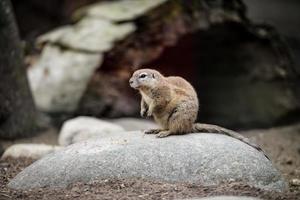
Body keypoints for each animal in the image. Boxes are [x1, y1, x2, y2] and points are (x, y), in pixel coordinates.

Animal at [129, 69, 270, 159]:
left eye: (142, 76)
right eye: (133, 74)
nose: (130, 81)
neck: (146, 90)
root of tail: (190, 125)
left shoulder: (162, 94)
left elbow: (158, 103)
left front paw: (150, 111)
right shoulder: (144, 98)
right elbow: (143, 103)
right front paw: (142, 111)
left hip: (178, 116)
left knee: (175, 130)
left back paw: (164, 133)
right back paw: (154, 130)